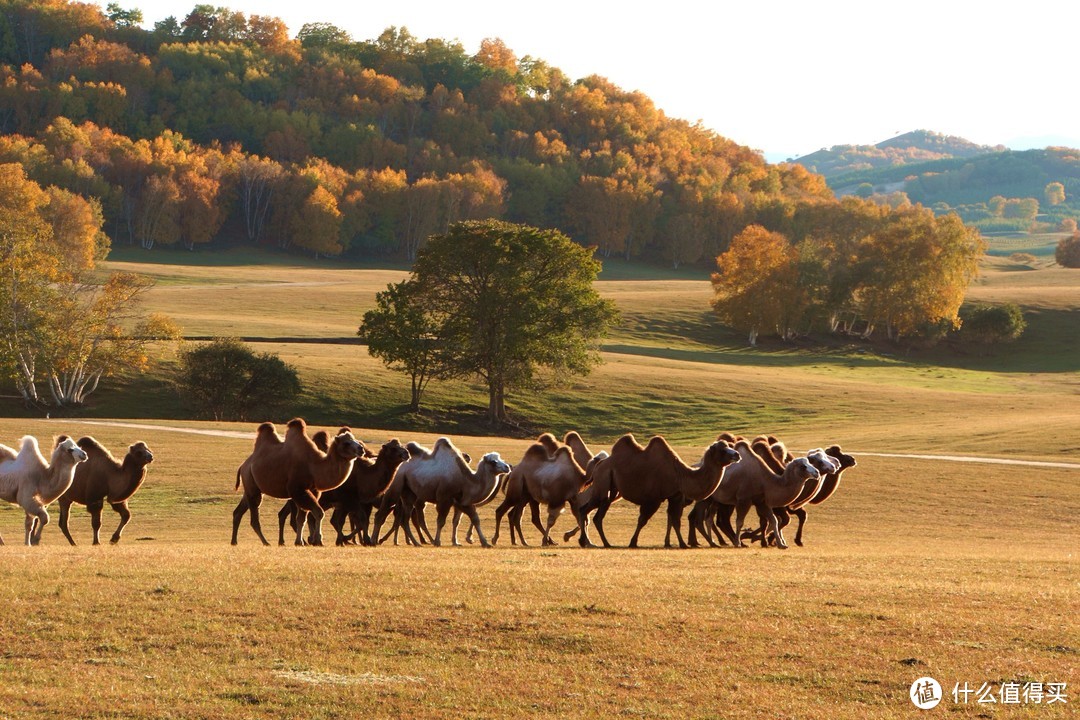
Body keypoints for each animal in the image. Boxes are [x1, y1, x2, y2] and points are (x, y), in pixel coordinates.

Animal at [230, 423, 365, 546]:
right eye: (346, 443)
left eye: (355, 439)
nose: (361, 449)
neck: (313, 467)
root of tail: (244, 465)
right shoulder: (298, 490)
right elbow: (318, 513)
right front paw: (317, 540)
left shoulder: (312, 491)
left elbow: (302, 518)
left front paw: (300, 542)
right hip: (252, 485)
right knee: (254, 519)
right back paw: (265, 542)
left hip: (250, 488)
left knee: (238, 512)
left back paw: (234, 541)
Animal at [609, 436, 743, 548]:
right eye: (722, 450)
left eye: (729, 446)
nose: (737, 454)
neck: (680, 475)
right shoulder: (655, 499)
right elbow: (644, 520)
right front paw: (633, 542)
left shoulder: (675, 496)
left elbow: (673, 520)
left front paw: (670, 543)